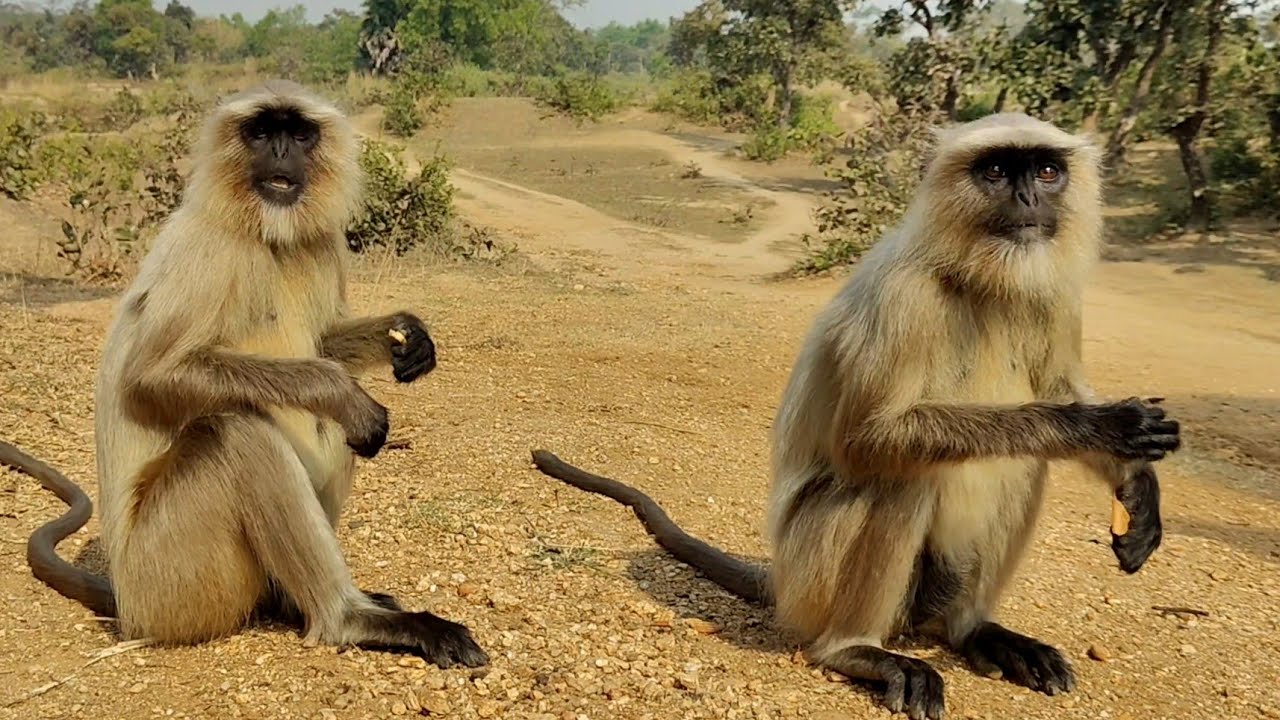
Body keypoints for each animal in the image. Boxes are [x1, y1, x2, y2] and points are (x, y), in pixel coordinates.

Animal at [1, 80, 487, 669]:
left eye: (297, 133)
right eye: (261, 131)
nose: (278, 150)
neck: (264, 232)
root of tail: (125, 597)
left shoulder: (322, 242)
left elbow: (324, 343)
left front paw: (409, 337)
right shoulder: (208, 246)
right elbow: (152, 376)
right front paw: (343, 392)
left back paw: (294, 601)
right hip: (172, 580)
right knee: (239, 430)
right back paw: (348, 618)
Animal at [532, 113, 1180, 719]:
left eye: (1046, 171)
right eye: (996, 171)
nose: (1027, 200)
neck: (974, 276)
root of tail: (780, 578)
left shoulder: (1053, 294)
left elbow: (1059, 386)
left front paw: (1138, 485)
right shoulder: (902, 295)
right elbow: (866, 441)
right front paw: (1099, 425)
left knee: (1020, 468)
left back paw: (975, 630)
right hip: (811, 573)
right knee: (901, 482)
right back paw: (855, 649)